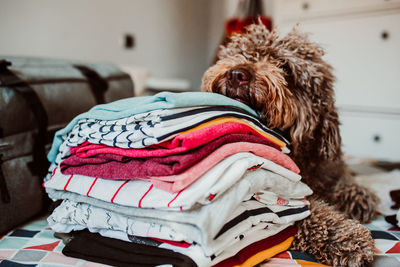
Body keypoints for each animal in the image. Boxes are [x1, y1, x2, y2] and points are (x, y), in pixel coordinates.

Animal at [202, 24, 380, 266]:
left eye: (285, 67)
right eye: (241, 53)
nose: (237, 74)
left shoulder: (330, 169)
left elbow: (351, 185)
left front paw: (355, 197)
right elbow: (308, 214)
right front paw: (347, 237)